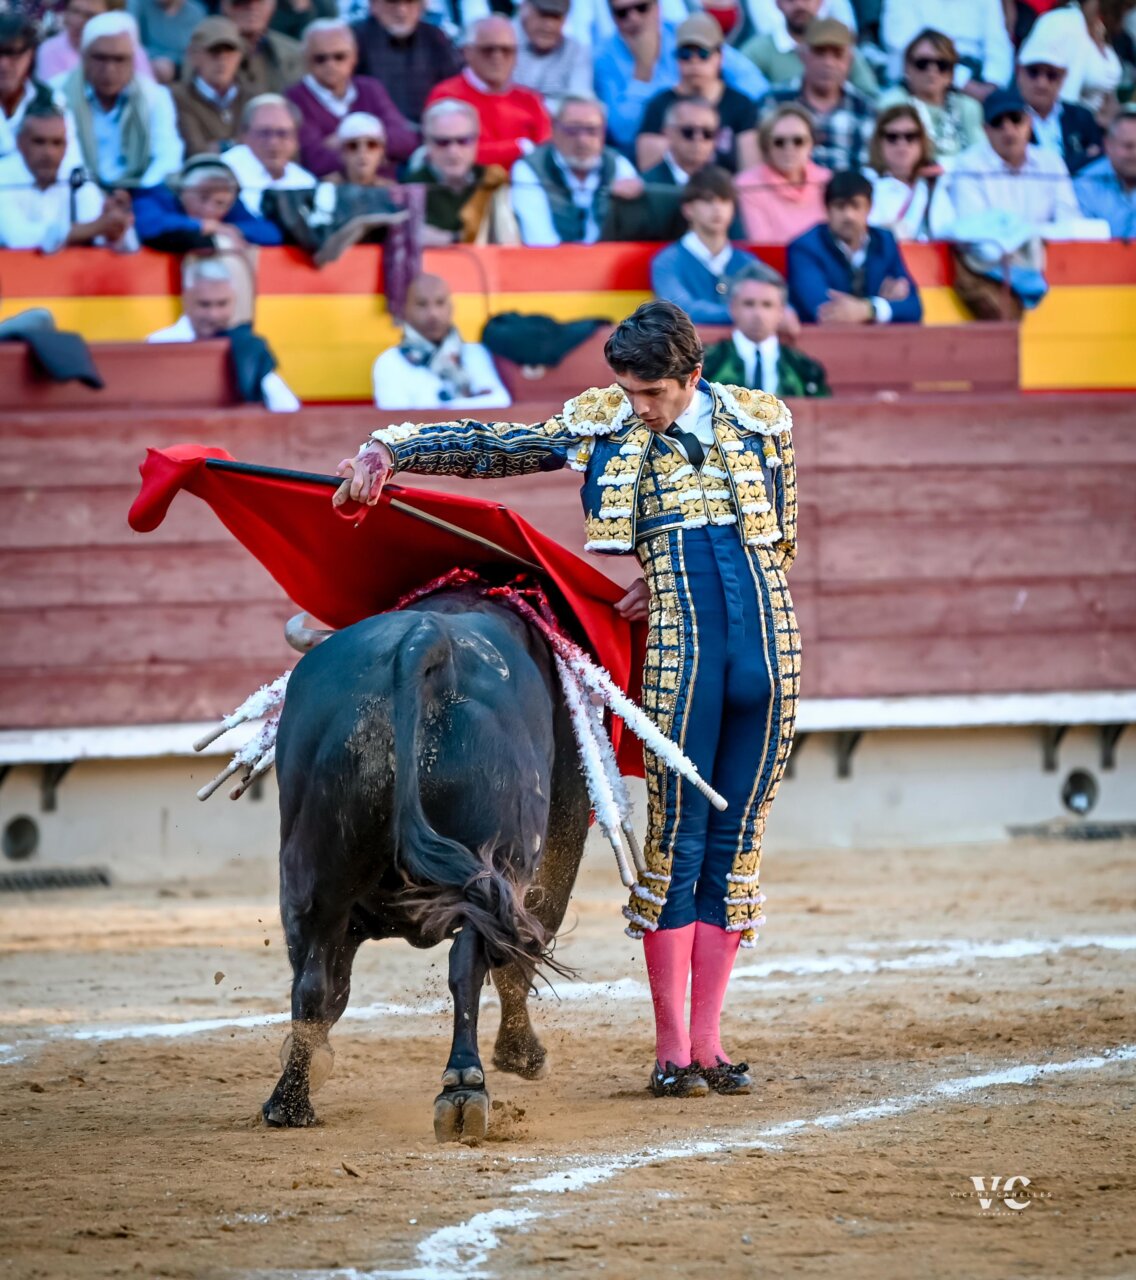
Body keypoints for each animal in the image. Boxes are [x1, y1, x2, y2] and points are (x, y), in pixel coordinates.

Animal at [261, 585, 590, 1142]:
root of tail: (424, 641)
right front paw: (523, 1056)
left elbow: (331, 990)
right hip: (501, 858)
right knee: (471, 963)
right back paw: (463, 1088)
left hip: (313, 871)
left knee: (313, 978)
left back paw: (290, 1102)